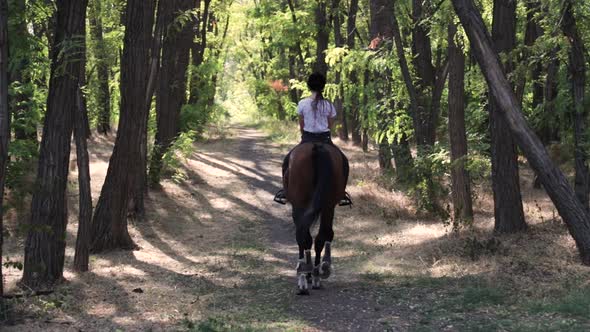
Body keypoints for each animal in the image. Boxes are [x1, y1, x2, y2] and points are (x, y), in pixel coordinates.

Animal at [284, 141, 344, 294]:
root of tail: (317, 146)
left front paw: (309, 274)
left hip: (301, 204)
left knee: (304, 236)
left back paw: (305, 277)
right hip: (328, 205)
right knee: (321, 236)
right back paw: (315, 274)